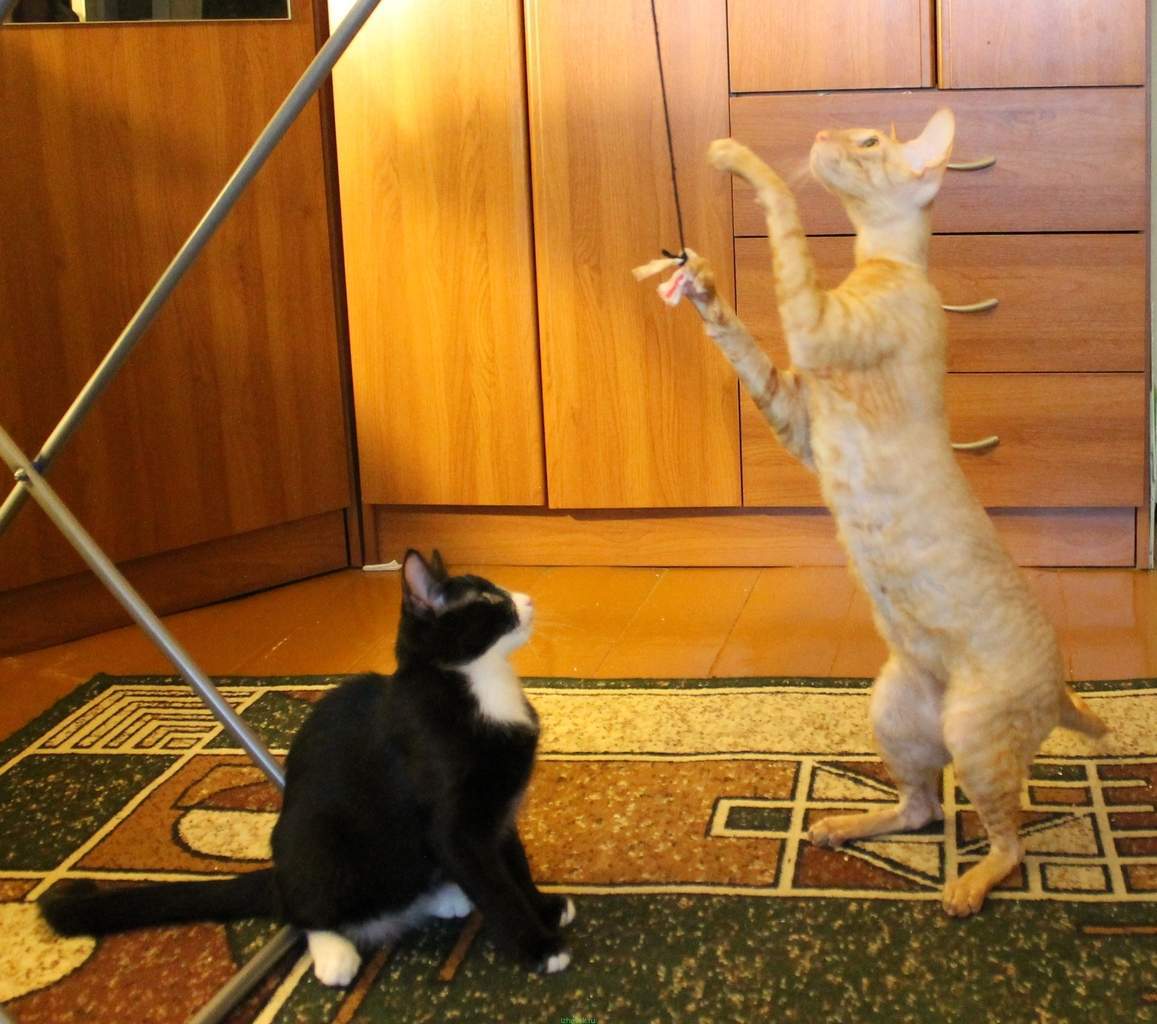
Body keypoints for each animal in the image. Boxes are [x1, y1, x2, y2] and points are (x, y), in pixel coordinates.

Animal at [41, 550, 575, 984]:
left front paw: (544, 908)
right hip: (316, 845)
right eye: (490, 601)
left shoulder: (497, 809)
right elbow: (496, 888)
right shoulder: (456, 825)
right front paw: (538, 946)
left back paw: (444, 896)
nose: (527, 600)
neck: (481, 686)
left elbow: (513, 865)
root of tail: (278, 873)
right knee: (304, 913)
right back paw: (336, 955)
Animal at [645, 110, 1107, 916]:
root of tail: (1058, 686)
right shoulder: (793, 414)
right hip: (894, 709)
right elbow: (740, 340)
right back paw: (844, 824)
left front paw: (737, 155)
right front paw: (697, 284)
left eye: (866, 142)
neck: (889, 264)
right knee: (922, 806)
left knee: (1008, 841)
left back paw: (963, 887)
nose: (821, 131)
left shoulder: (817, 326)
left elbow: (783, 215)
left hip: (974, 734)